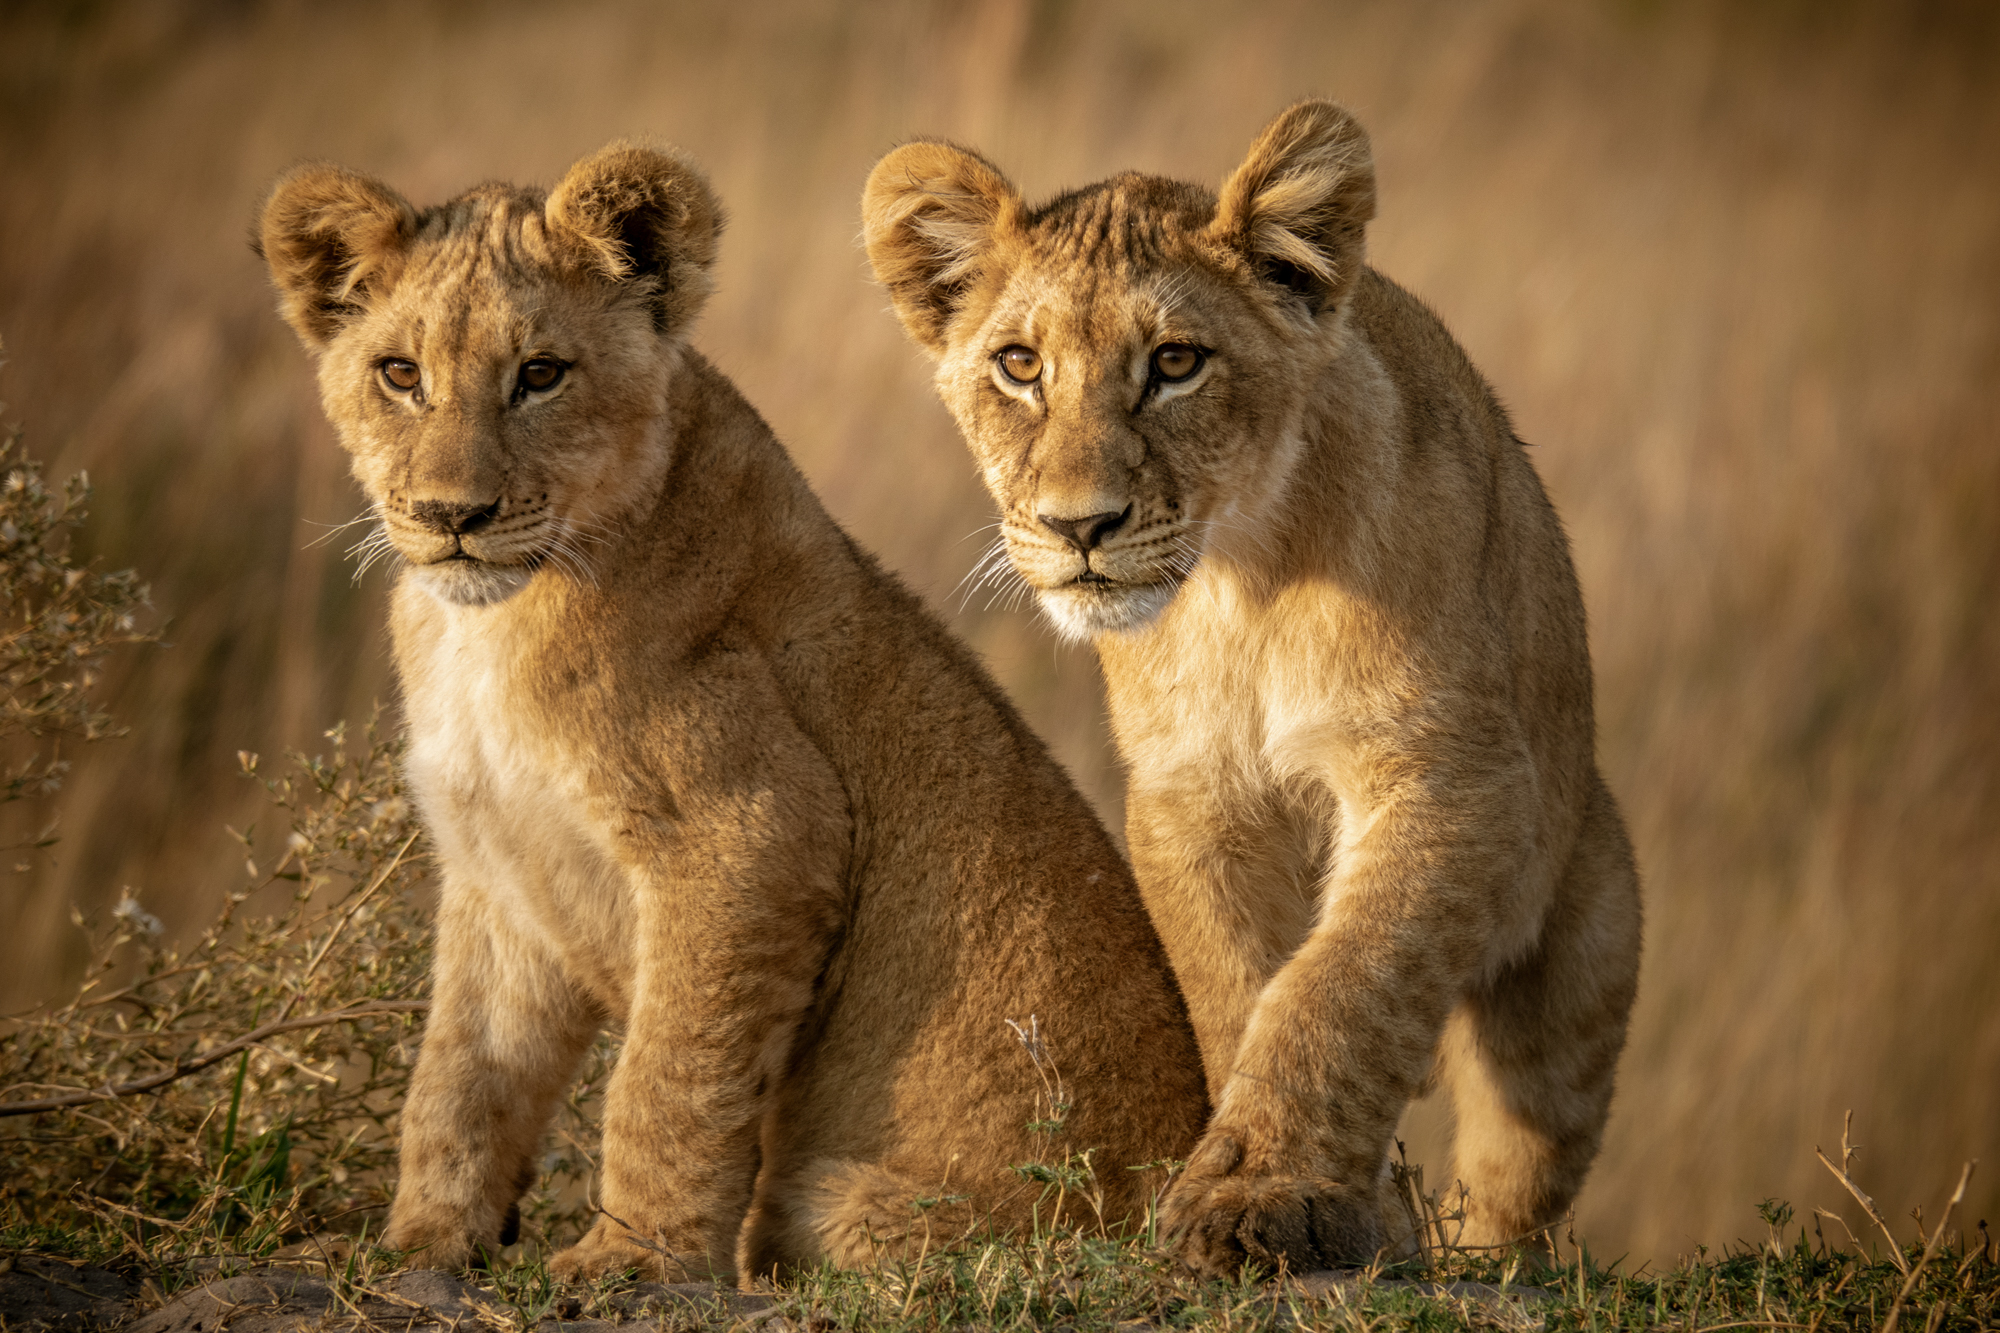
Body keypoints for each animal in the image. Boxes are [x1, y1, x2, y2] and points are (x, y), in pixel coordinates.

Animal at [257, 141, 1208, 1284]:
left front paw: (630, 1260)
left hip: (843, 1203)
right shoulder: (496, 873)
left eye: (540, 375)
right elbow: (457, 1076)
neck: (484, 629)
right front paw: (419, 1246)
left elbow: (667, 1078)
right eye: (399, 375)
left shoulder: (757, 834)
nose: (452, 516)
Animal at [862, 101, 1643, 1275]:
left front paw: (1267, 1195)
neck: (1244, 583)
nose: (1078, 527)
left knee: (1521, 1163)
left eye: (1176, 362)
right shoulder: (1189, 797)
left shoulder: (1447, 776)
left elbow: (1344, 983)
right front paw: (1261, 1175)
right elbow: (1236, 988)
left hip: (1581, 951)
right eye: (1018, 364)